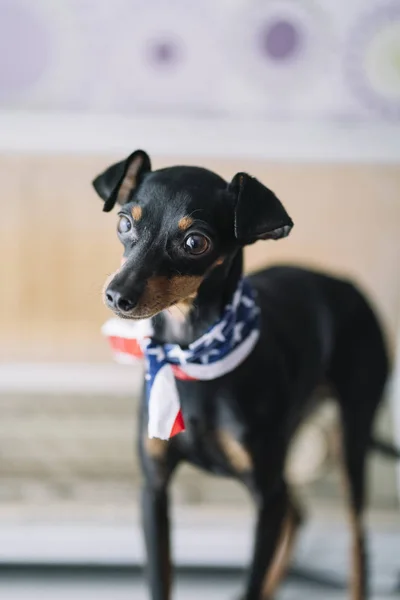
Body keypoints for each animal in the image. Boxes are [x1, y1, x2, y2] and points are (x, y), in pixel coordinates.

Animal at [93, 146, 394, 600]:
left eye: (195, 242)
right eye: (125, 223)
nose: (117, 295)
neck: (194, 359)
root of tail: (348, 285)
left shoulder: (265, 498)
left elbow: (253, 576)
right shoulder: (155, 490)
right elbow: (160, 579)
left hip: (351, 436)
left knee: (356, 539)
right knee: (298, 512)